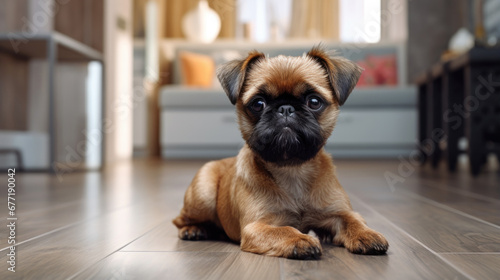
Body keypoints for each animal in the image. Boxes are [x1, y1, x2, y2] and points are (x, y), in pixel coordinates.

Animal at [174, 47, 388, 260]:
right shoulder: (257, 226)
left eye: (314, 101)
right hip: (204, 193)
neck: (292, 169)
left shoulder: (339, 212)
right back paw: (193, 229)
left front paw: (366, 234)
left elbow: (353, 220)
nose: (285, 108)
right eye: (258, 103)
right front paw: (300, 239)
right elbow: (284, 230)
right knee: (179, 220)